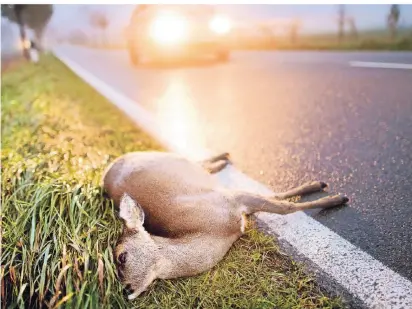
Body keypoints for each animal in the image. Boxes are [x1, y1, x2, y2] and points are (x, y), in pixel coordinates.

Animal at [103, 152, 348, 298]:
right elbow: (277, 200)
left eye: (121, 257)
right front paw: (325, 192)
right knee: (200, 164)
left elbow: (283, 206)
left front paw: (333, 197)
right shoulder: (234, 203)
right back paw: (223, 159)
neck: (216, 232)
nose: (125, 290)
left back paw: (224, 157)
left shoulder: (230, 199)